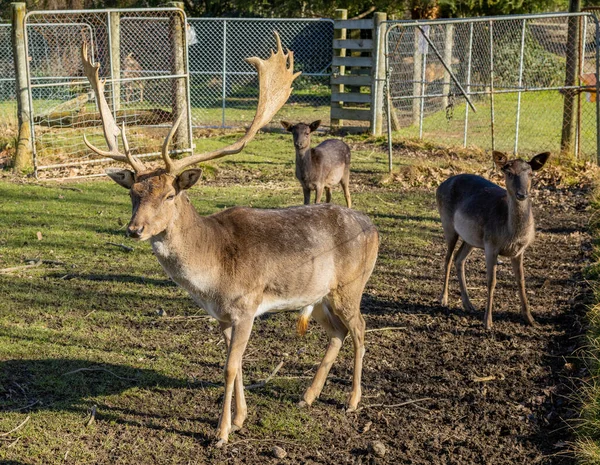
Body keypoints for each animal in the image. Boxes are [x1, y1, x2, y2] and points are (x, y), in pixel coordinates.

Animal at [80, 36, 380, 446]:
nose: (134, 229)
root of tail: (374, 227)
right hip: (318, 295)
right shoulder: (221, 315)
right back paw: (307, 396)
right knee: (337, 332)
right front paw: (239, 419)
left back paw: (352, 401)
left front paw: (221, 432)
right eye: (133, 193)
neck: (213, 274)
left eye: (170, 195)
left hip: (351, 285)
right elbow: (234, 365)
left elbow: (229, 367)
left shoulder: (246, 305)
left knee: (361, 330)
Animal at [436, 150, 548, 328]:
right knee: (448, 258)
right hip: (448, 225)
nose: (522, 194)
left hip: (471, 238)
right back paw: (444, 299)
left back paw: (468, 304)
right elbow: (491, 281)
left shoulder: (519, 251)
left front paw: (530, 319)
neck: (512, 233)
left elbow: (521, 280)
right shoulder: (491, 245)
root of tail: (440, 185)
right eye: (509, 173)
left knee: (459, 258)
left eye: (531, 173)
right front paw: (487, 322)